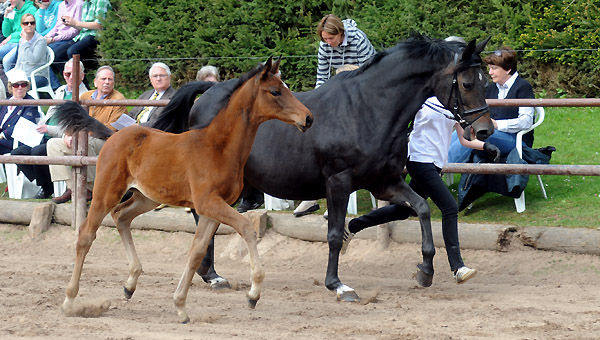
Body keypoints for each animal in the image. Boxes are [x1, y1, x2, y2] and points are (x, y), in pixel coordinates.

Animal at [55, 59, 314, 324]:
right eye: (275, 92)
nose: (308, 118)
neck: (218, 148)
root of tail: (114, 134)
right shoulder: (208, 203)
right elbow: (246, 228)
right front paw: (253, 294)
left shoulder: (214, 208)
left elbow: (197, 251)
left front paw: (180, 306)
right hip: (106, 192)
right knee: (86, 234)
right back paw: (69, 300)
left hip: (147, 197)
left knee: (121, 216)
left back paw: (130, 284)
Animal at [154, 34, 492, 302]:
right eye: (466, 83)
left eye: (486, 81)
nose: (485, 130)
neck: (367, 109)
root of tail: (207, 94)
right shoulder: (338, 182)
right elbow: (333, 234)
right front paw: (338, 285)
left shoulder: (385, 182)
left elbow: (420, 208)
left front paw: (426, 270)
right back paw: (210, 275)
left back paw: (211, 274)